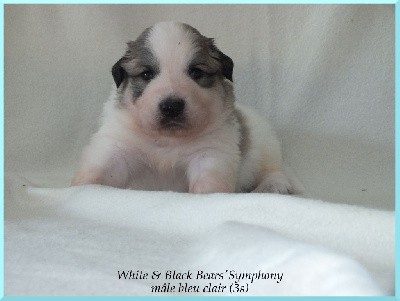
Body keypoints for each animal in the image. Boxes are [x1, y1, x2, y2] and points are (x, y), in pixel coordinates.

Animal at [72, 21, 304, 195]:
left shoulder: (210, 153)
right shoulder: (117, 146)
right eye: (147, 74)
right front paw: (78, 190)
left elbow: (209, 184)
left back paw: (273, 186)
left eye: (196, 72)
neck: (167, 140)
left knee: (273, 170)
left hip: (265, 148)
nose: (171, 106)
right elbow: (99, 172)